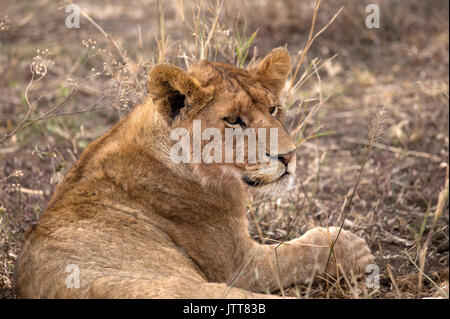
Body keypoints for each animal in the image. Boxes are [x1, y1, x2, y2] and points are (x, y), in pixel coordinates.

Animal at [14, 48, 372, 300]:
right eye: (233, 120)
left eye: (274, 109)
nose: (289, 156)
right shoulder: (239, 266)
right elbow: (299, 252)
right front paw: (351, 246)